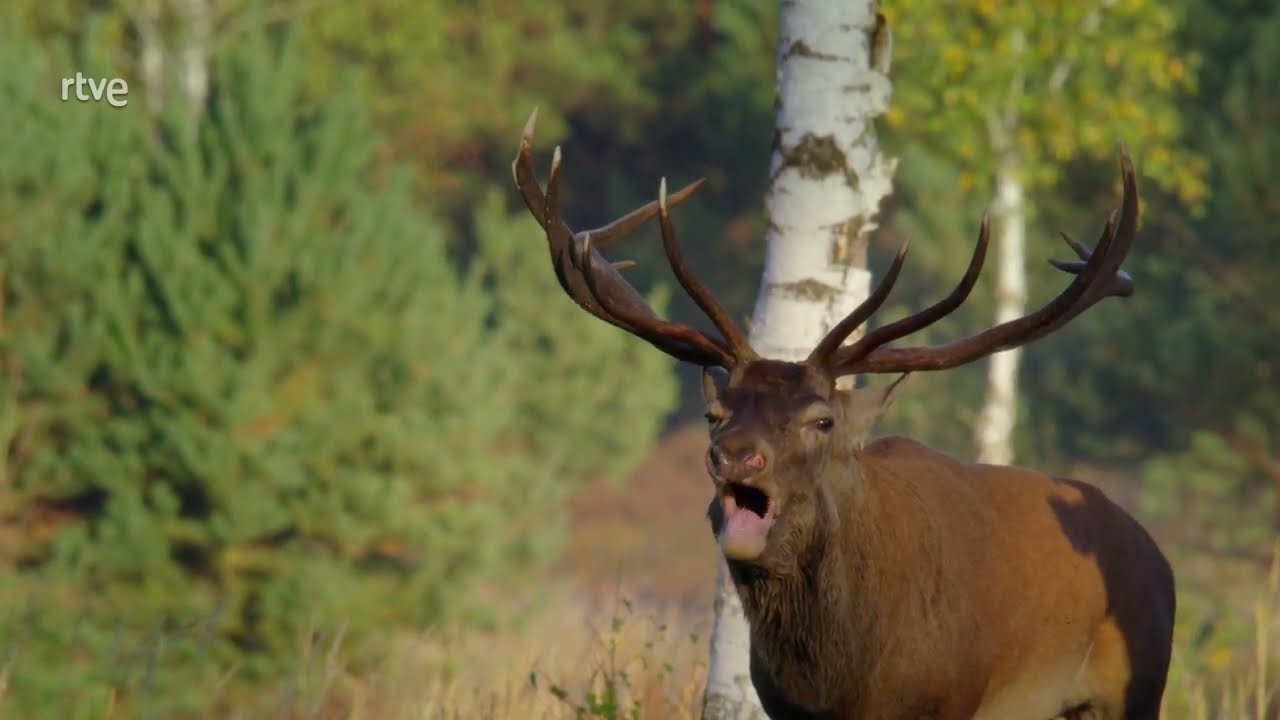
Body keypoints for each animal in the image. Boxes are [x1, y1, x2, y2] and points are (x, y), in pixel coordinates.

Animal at [511, 109, 1175, 720]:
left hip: (1133, 686)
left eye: (821, 420)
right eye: (714, 414)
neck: (845, 679)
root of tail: (1158, 558)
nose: (734, 456)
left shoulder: (952, 700)